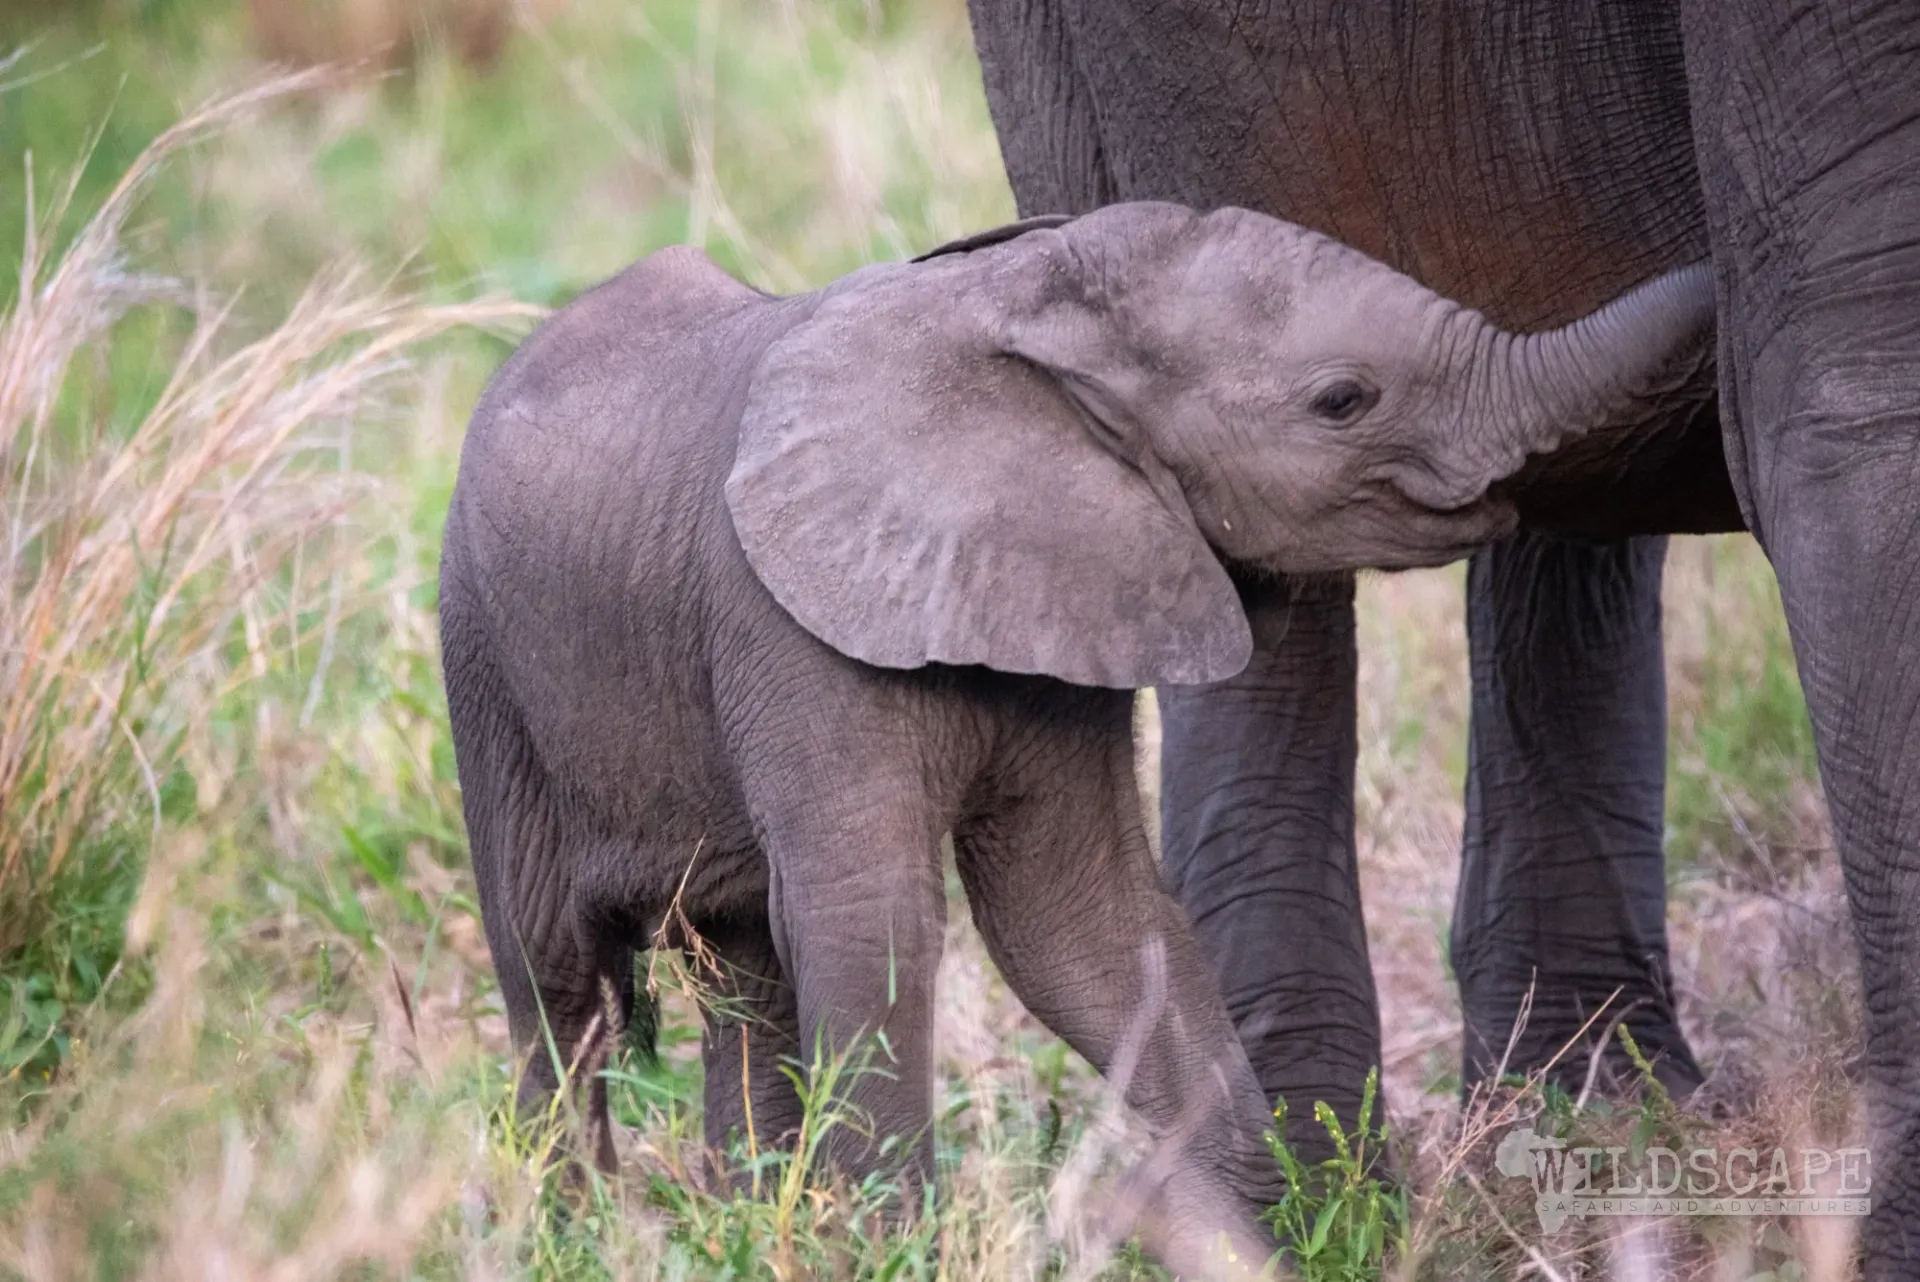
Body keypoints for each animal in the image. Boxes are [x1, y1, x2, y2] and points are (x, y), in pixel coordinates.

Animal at [437, 199, 1713, 1270]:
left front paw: (1271, 1223)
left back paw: (752, 1221)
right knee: (557, 984)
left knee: (740, 971)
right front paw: (892, 1251)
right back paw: (574, 1233)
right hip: (483, 667)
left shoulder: (1086, 589)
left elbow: (1085, 920)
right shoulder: (789, 631)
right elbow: (873, 918)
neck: (1024, 307)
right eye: (1343, 399)